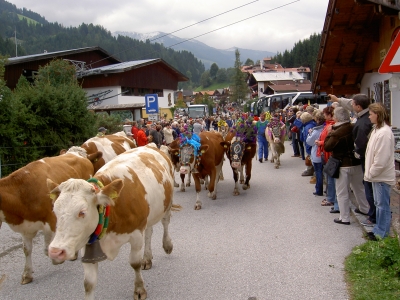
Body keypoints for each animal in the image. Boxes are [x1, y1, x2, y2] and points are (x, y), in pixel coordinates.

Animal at [0, 147, 101, 284]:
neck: (21, 192)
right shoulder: (26, 227)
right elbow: (26, 249)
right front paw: (27, 274)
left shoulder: (51, 220)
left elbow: (47, 248)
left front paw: (57, 259)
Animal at [47, 144, 175, 298]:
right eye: (55, 211)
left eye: (82, 212)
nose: (55, 251)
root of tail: (150, 146)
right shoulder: (86, 242)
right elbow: (88, 283)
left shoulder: (136, 234)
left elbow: (135, 263)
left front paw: (139, 289)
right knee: (149, 232)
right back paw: (147, 258)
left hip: (167, 204)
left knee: (165, 223)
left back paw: (167, 245)